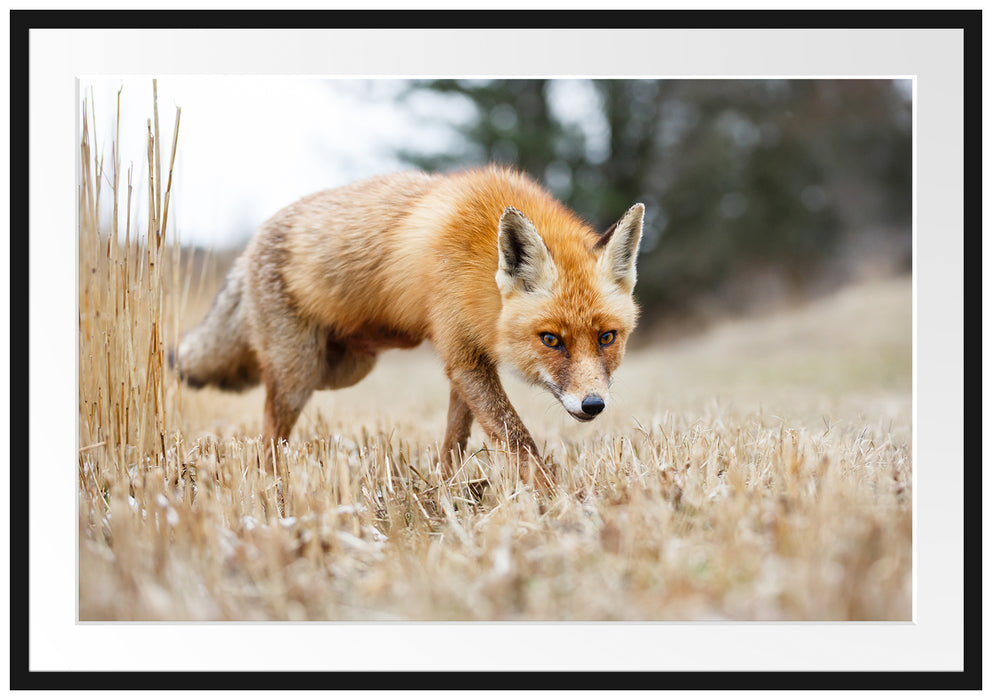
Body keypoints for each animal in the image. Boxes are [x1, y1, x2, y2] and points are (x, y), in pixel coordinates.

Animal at [171, 165, 644, 487]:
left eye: (607, 338)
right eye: (550, 340)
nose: (593, 405)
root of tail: (249, 245)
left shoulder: (468, 358)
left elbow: (457, 437)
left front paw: (446, 488)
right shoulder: (463, 356)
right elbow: (515, 437)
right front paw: (555, 498)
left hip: (343, 367)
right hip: (299, 375)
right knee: (269, 429)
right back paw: (271, 483)